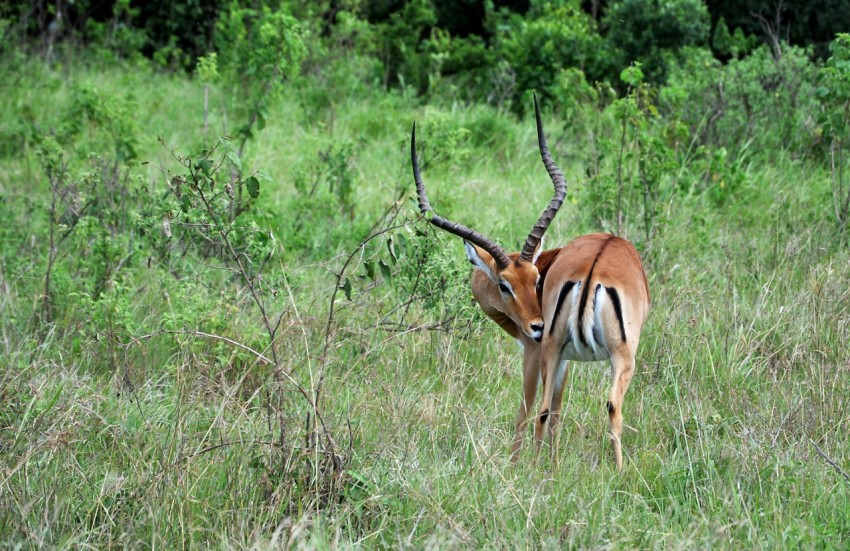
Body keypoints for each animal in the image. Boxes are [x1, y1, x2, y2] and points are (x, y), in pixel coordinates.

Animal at [410, 95, 650, 470]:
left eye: (537, 277)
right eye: (505, 284)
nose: (536, 325)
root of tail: (594, 269)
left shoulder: (535, 351)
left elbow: (528, 406)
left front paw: (520, 464)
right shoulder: (557, 355)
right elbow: (554, 409)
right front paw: (548, 466)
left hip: (589, 353)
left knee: (561, 409)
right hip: (595, 354)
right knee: (578, 408)